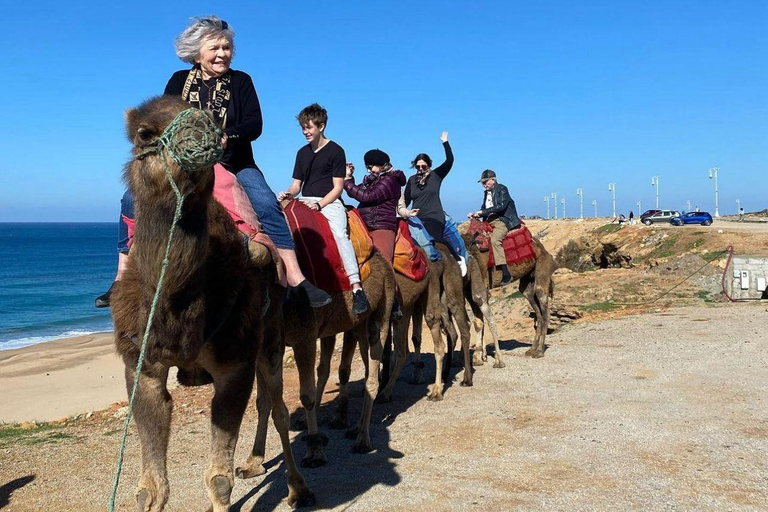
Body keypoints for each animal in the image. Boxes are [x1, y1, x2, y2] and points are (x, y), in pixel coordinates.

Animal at [110, 97, 312, 512]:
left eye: (214, 124)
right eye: (144, 133)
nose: (199, 132)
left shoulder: (234, 362)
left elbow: (219, 480)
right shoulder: (141, 365)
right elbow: (149, 489)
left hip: (271, 333)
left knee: (280, 408)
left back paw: (297, 487)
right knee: (268, 403)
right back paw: (254, 463)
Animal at [237, 244, 396, 472]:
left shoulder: (305, 337)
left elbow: (307, 396)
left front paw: (314, 453)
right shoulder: (262, 348)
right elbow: (262, 402)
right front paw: (252, 462)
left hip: (382, 310)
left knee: (373, 374)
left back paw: (362, 440)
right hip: (358, 324)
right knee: (365, 368)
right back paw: (354, 428)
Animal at [460, 230, 556, 358]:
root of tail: (543, 249)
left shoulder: (482, 288)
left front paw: (481, 355)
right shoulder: (468, 292)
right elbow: (478, 320)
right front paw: (482, 355)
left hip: (542, 269)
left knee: (545, 312)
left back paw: (540, 351)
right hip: (528, 283)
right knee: (537, 312)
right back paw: (531, 350)